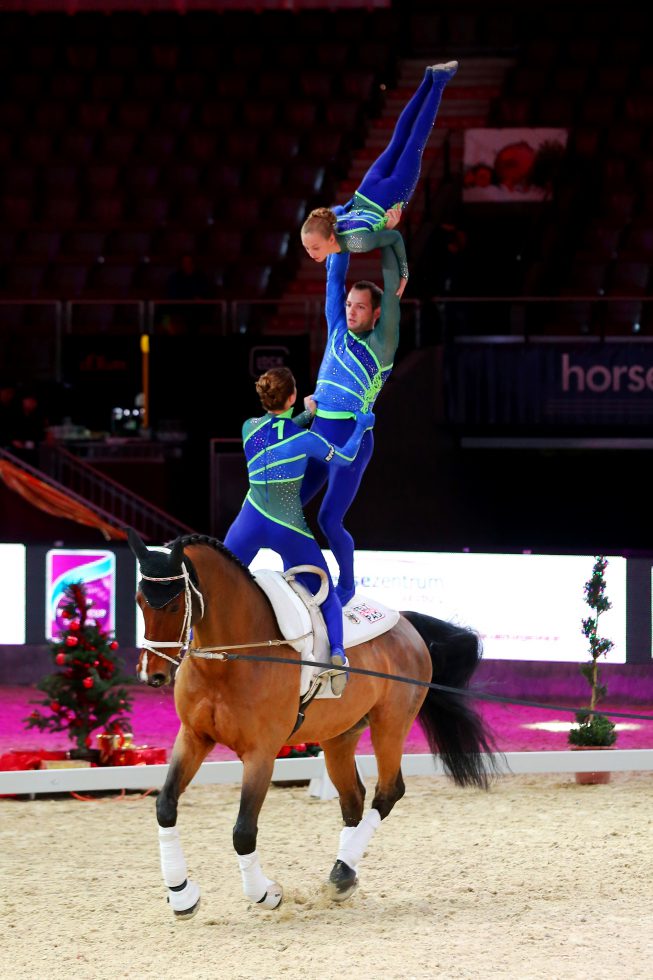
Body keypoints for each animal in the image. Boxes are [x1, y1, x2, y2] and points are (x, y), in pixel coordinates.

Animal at [129, 528, 494, 920]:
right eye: (139, 600)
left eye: (173, 605)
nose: (152, 674)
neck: (229, 658)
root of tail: (407, 623)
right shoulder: (194, 737)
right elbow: (165, 807)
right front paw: (181, 895)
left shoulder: (261, 754)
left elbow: (243, 830)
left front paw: (266, 894)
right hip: (340, 736)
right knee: (353, 798)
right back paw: (343, 876)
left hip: (390, 725)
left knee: (388, 791)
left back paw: (342, 872)